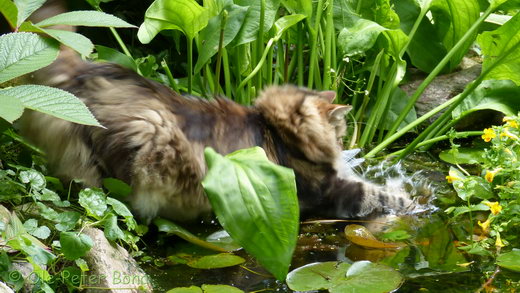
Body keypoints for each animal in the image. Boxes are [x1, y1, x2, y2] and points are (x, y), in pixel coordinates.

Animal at [20, 46, 416, 221]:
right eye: (341, 131)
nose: (346, 143)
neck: (278, 131)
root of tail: (85, 74)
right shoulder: (326, 190)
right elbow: (377, 194)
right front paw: (411, 201)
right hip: (141, 144)